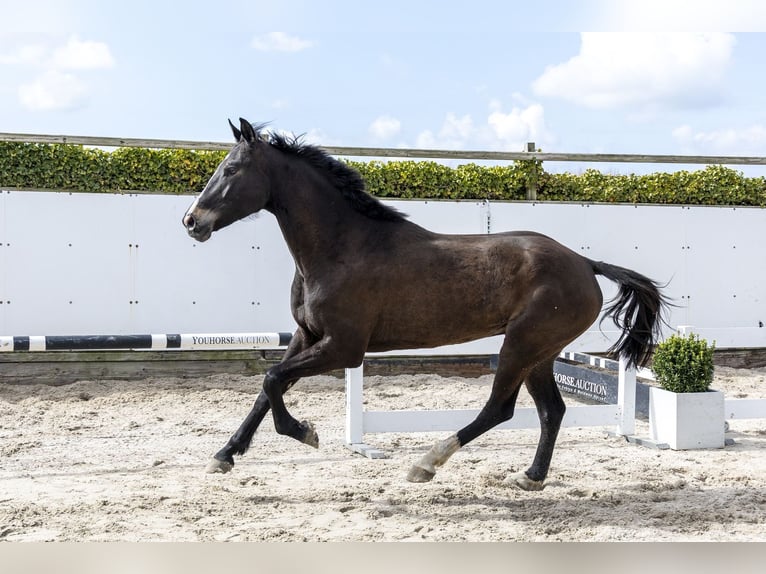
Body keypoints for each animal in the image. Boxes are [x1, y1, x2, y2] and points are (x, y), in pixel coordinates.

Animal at [182, 118, 668, 491]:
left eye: (231, 169)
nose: (191, 221)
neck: (342, 248)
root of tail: (585, 263)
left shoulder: (344, 347)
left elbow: (271, 380)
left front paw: (305, 433)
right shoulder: (307, 336)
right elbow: (268, 389)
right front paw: (224, 454)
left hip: (521, 345)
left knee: (500, 408)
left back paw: (426, 463)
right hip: (542, 353)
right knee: (552, 411)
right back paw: (530, 477)